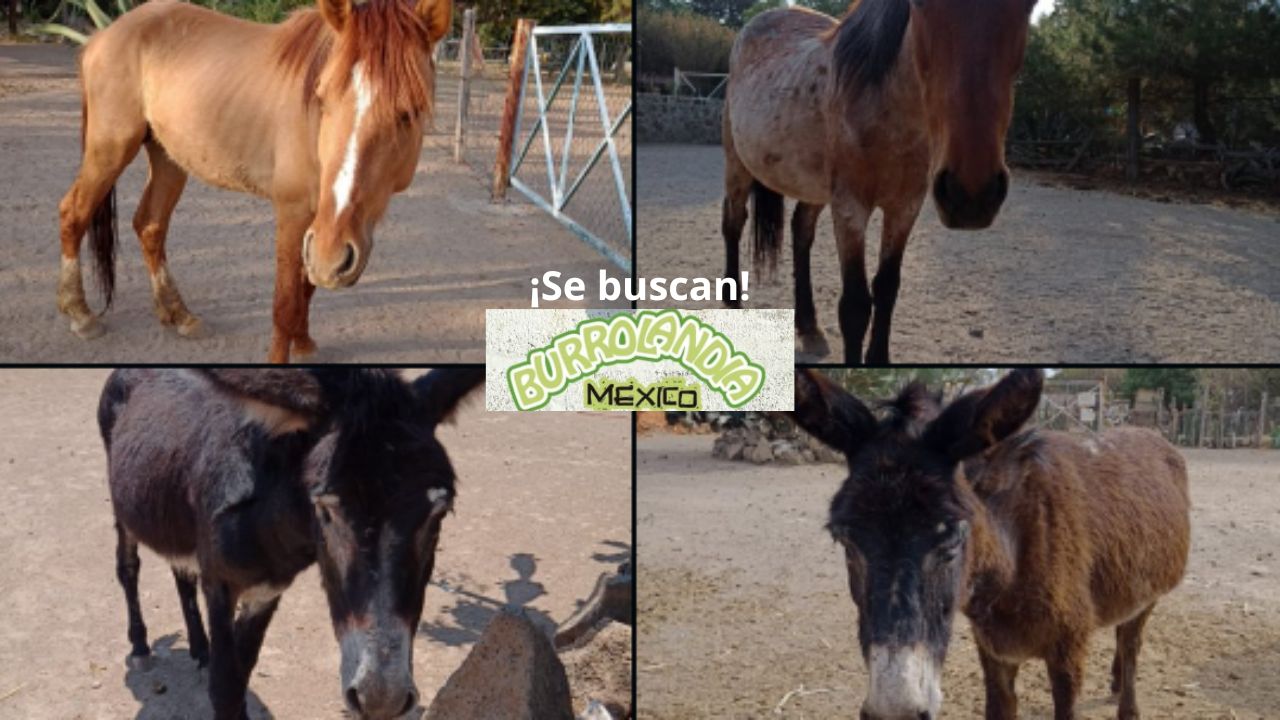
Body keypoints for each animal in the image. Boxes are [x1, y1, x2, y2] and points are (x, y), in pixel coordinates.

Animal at [57, 0, 451, 363]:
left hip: (168, 157)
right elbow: (286, 301)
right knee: (73, 214)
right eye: (322, 99)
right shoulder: (295, 213)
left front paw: (304, 345)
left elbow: (306, 288)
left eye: (409, 112)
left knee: (150, 225)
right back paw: (80, 314)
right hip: (110, 149)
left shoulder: (318, 226)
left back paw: (178, 314)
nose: (334, 257)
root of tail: (103, 36)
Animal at [98, 367, 484, 719]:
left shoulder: (266, 592)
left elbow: (240, 675)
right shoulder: (219, 585)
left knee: (181, 573)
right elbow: (224, 687)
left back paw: (199, 648)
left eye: (441, 512)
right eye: (325, 510)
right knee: (128, 568)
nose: (380, 699)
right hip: (122, 509)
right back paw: (141, 646)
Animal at [722, 0, 1034, 364]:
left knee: (801, 232)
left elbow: (887, 287)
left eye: (1029, 6)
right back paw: (733, 307)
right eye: (920, 5)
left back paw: (809, 327)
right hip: (737, 166)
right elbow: (855, 307)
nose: (971, 194)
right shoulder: (850, 207)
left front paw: (878, 359)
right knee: (733, 223)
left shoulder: (905, 207)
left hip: (813, 187)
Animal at [791, 369, 1190, 719]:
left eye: (953, 538)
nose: (895, 711)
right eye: (843, 538)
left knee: (1131, 641)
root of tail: (1152, 433)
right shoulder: (994, 651)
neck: (1010, 568)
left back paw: (1128, 703)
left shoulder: (1069, 652)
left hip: (1149, 594)